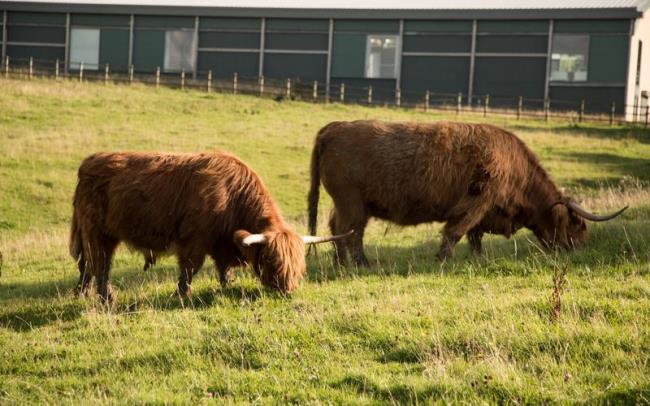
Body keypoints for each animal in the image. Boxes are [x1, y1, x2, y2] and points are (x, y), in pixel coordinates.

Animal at [71, 151, 350, 304]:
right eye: (272, 260)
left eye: (300, 265)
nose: (288, 289)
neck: (233, 195)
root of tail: (88, 163)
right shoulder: (194, 240)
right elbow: (190, 269)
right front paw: (183, 294)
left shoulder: (222, 242)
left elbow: (224, 268)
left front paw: (228, 285)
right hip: (98, 233)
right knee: (100, 265)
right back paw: (107, 298)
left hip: (89, 233)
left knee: (86, 266)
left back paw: (81, 294)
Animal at [306, 119, 624, 266]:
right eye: (577, 224)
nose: (580, 248)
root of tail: (333, 128)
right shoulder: (478, 200)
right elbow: (457, 230)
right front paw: (442, 259)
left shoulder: (484, 209)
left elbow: (474, 235)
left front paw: (477, 257)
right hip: (352, 203)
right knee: (350, 231)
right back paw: (358, 263)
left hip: (349, 204)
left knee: (339, 229)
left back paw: (343, 263)